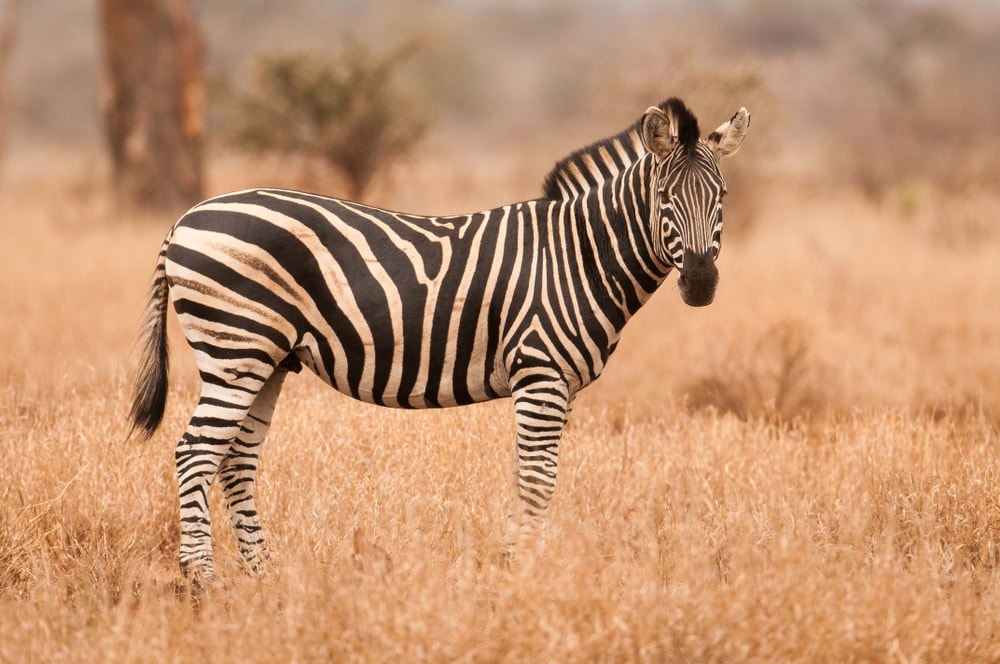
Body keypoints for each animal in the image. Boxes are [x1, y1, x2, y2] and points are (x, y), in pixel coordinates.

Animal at [129, 98, 749, 585]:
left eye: (721, 197)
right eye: (665, 197)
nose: (701, 283)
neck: (579, 255)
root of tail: (185, 219)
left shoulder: (558, 384)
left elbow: (531, 477)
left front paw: (516, 564)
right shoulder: (541, 374)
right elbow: (537, 479)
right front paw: (520, 572)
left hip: (269, 358)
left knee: (235, 459)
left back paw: (265, 577)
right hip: (237, 348)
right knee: (195, 452)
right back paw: (203, 581)